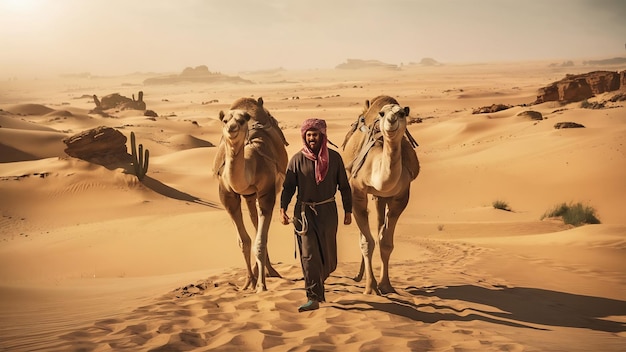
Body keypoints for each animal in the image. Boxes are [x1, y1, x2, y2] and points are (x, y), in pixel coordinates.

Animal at [211, 96, 286, 292]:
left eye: (241, 120)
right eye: (225, 120)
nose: (231, 128)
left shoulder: (267, 192)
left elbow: (259, 241)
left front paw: (261, 285)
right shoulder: (227, 196)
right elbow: (243, 242)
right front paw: (248, 282)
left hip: (262, 193)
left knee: (259, 226)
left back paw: (270, 271)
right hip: (249, 196)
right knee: (254, 220)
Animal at [342, 95, 420, 294]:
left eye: (401, 113)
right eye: (383, 113)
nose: (391, 121)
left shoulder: (402, 195)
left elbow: (386, 243)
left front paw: (386, 285)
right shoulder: (356, 192)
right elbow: (367, 242)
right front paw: (370, 287)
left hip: (381, 197)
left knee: (378, 228)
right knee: (366, 235)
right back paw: (361, 276)